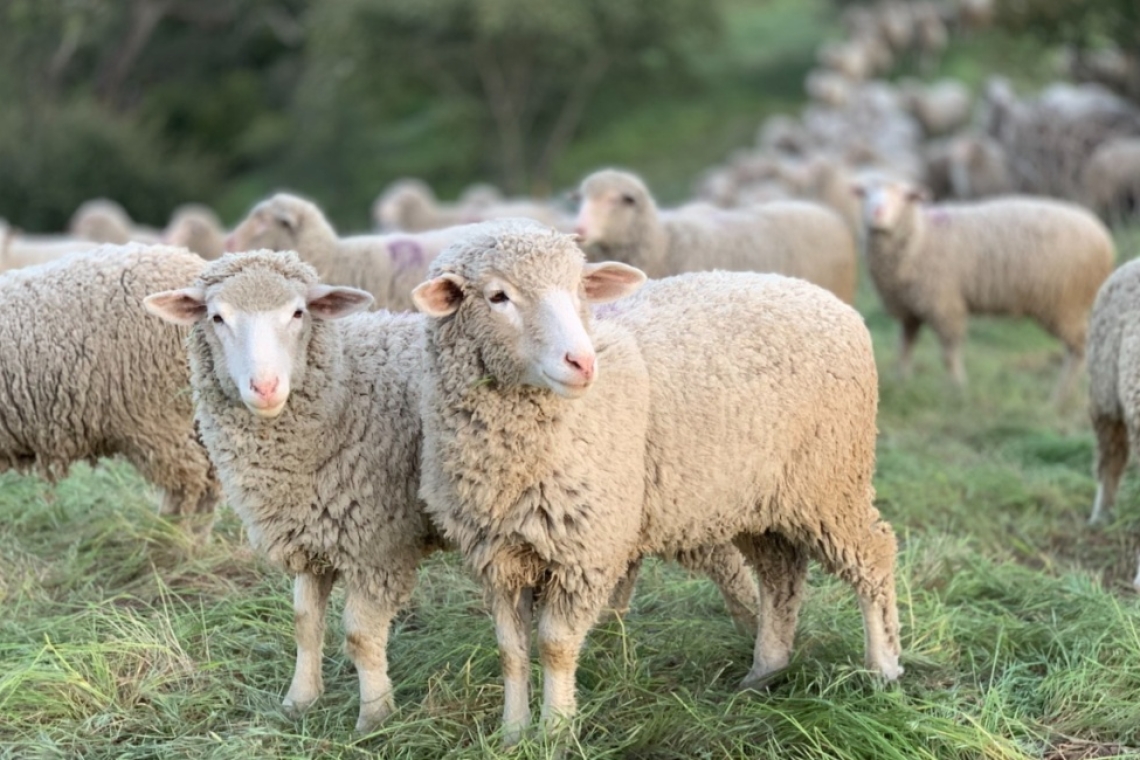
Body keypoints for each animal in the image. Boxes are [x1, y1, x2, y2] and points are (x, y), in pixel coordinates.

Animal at [414, 218, 902, 742]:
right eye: (498, 296)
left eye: (580, 289)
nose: (582, 362)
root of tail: (829, 300)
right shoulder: (496, 555)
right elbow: (511, 650)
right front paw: (512, 733)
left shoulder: (586, 549)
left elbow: (555, 646)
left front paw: (556, 732)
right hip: (759, 497)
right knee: (781, 575)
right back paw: (765, 671)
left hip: (831, 481)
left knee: (873, 555)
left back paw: (883, 669)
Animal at [857, 172, 1112, 398]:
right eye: (865, 194)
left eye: (904, 196)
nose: (877, 212)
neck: (920, 237)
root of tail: (1103, 236)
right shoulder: (909, 310)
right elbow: (904, 348)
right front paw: (902, 382)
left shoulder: (944, 304)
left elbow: (949, 353)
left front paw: (957, 389)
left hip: (1063, 303)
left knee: (1080, 347)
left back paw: (1060, 398)